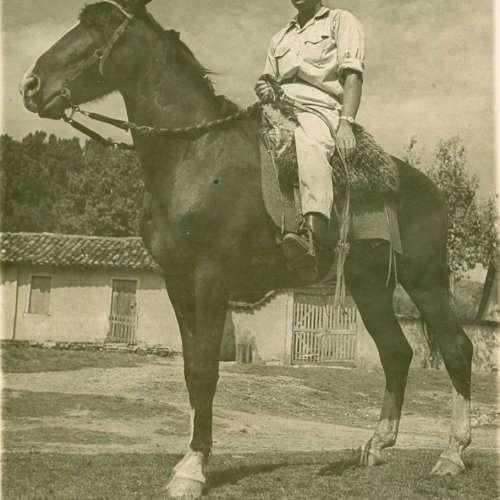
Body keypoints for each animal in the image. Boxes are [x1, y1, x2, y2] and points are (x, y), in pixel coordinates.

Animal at [19, 1, 472, 498]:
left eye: (98, 27)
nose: (30, 86)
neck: (192, 156)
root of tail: (427, 188)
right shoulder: (177, 283)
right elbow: (190, 369)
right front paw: (189, 459)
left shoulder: (210, 280)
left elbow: (205, 369)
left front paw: (193, 470)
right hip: (369, 286)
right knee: (396, 353)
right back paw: (375, 445)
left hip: (426, 282)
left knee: (456, 348)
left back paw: (452, 455)